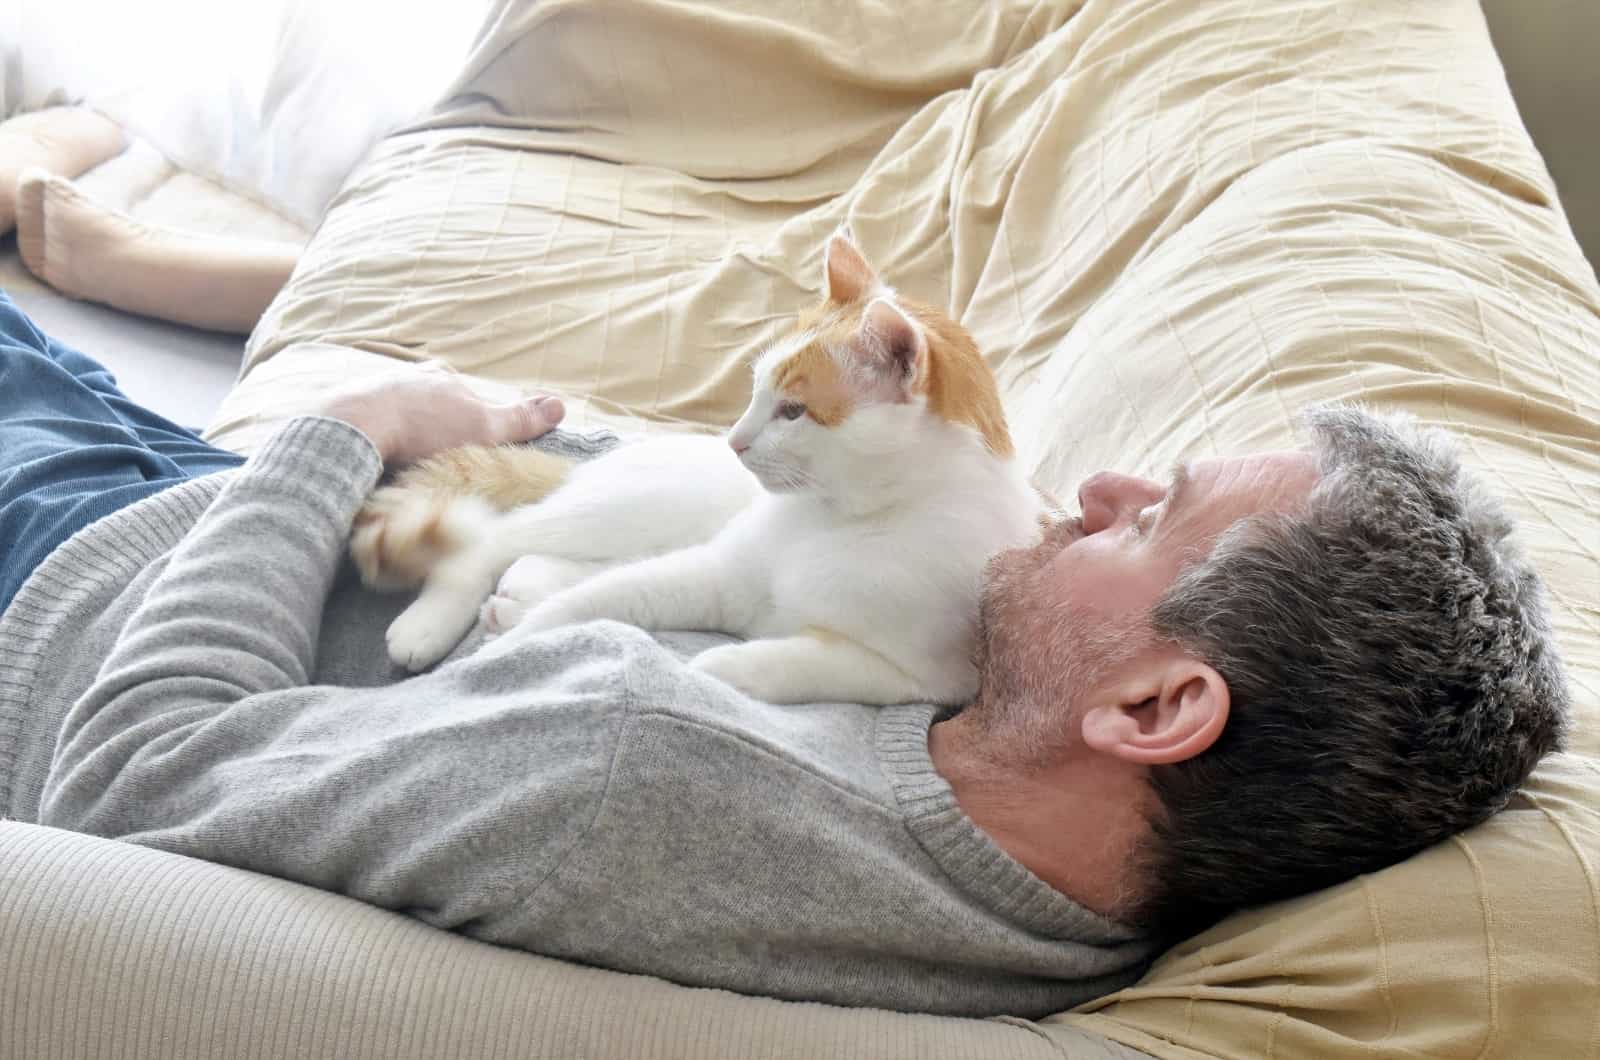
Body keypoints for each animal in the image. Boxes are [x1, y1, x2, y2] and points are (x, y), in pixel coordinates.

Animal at [350, 232, 1043, 710]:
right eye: (757, 391)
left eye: (793, 411)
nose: (733, 441)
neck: (843, 522)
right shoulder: (717, 575)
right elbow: (595, 603)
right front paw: (512, 648)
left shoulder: (924, 675)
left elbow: (801, 664)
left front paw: (722, 671)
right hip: (624, 512)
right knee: (497, 541)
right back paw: (437, 620)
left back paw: (519, 596)